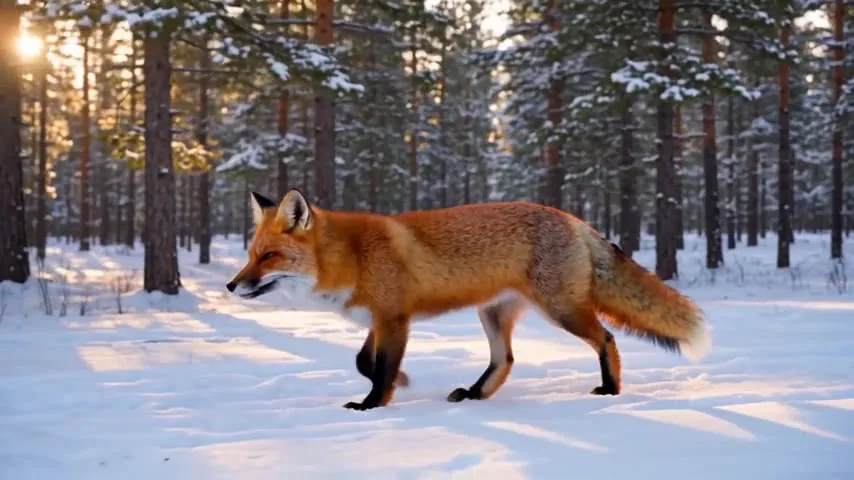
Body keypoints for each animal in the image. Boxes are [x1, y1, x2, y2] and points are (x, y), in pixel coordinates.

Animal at [227, 188, 709, 411]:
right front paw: (401, 382)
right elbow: (364, 361)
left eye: (268, 257)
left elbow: (380, 368)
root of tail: (575, 220)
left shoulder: (395, 318)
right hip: (492, 314)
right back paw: (475, 395)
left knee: (607, 339)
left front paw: (373, 404)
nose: (231, 286)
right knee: (505, 360)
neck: (353, 258)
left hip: (562, 311)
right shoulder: (378, 320)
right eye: (251, 254)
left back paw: (610, 390)